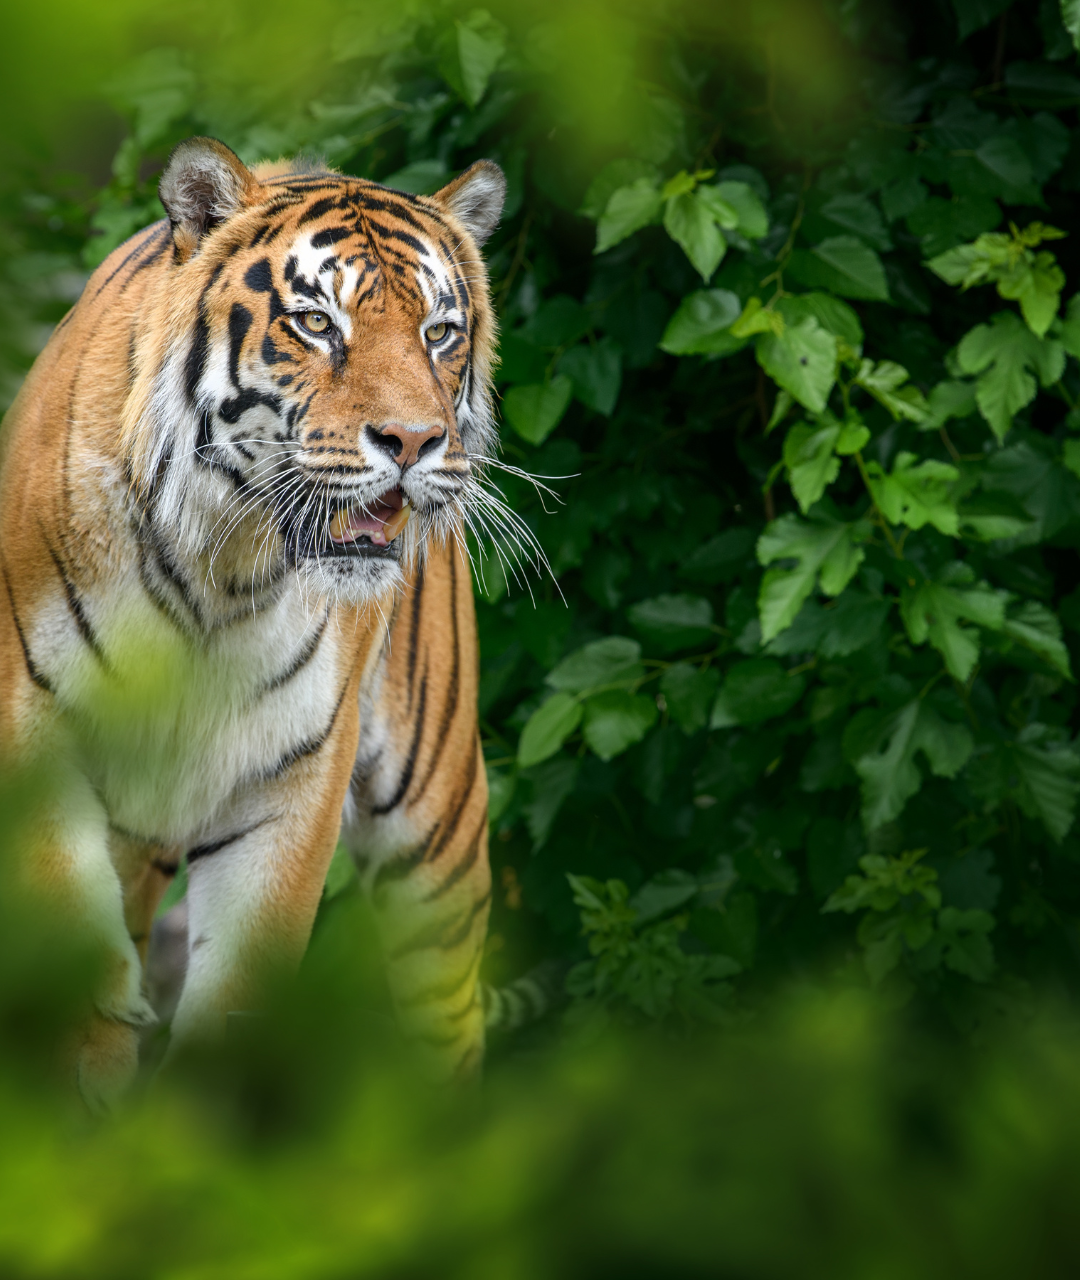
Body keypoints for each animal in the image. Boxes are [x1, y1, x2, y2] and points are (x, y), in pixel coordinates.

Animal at [0, 136, 509, 1110]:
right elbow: (81, 987)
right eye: (315, 324)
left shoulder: (291, 776)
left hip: (437, 830)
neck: (220, 571)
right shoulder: (36, 743)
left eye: (439, 332)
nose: (415, 441)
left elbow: (238, 993)